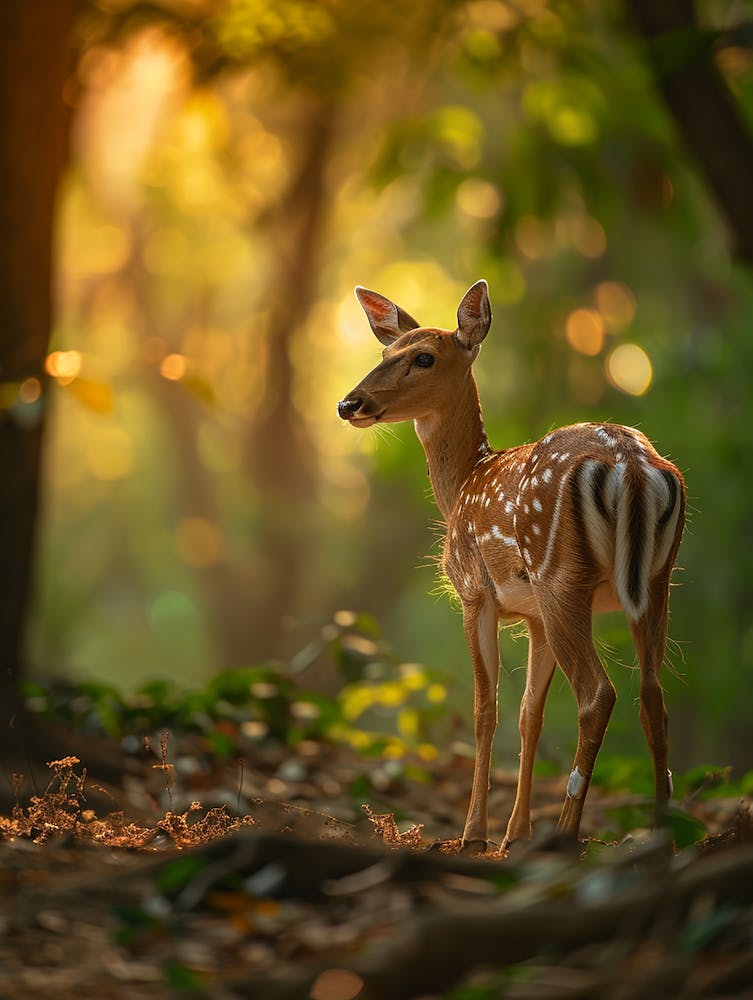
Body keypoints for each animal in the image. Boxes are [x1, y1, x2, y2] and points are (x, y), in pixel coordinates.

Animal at [337, 279, 685, 850]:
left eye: (424, 357)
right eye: (385, 353)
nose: (349, 404)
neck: (462, 482)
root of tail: (632, 465)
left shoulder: (476, 593)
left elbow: (487, 709)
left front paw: (475, 835)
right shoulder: (535, 618)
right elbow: (529, 713)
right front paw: (514, 835)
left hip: (559, 576)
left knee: (598, 694)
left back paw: (566, 834)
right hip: (656, 580)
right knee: (652, 695)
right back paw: (663, 837)